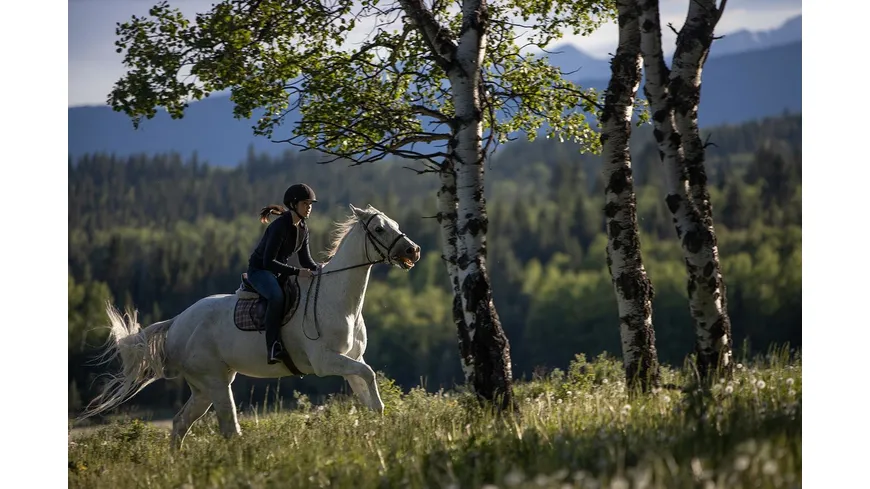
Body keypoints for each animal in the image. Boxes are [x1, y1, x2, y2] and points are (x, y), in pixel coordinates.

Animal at [77, 204, 421, 449]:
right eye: (379, 228)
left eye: (395, 224)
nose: (412, 251)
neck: (338, 297)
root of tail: (176, 322)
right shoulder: (326, 362)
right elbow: (370, 375)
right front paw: (382, 419)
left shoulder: (351, 359)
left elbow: (367, 385)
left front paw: (379, 423)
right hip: (215, 382)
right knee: (228, 429)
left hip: (204, 387)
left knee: (180, 423)